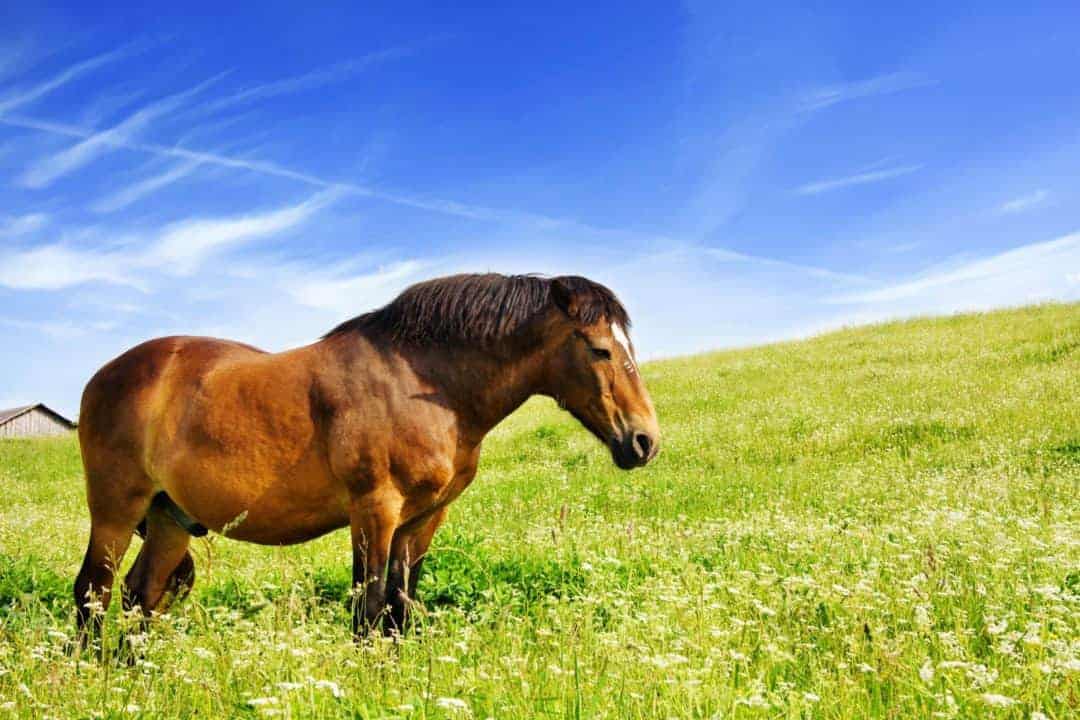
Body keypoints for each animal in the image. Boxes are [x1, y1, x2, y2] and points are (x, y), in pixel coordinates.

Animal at [74, 273, 660, 640]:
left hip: (170, 519)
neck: (420, 385)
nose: (644, 441)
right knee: (92, 592)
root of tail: (104, 374)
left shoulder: (421, 520)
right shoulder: (374, 512)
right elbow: (370, 606)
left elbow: (401, 607)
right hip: (116, 511)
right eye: (600, 349)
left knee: (141, 595)